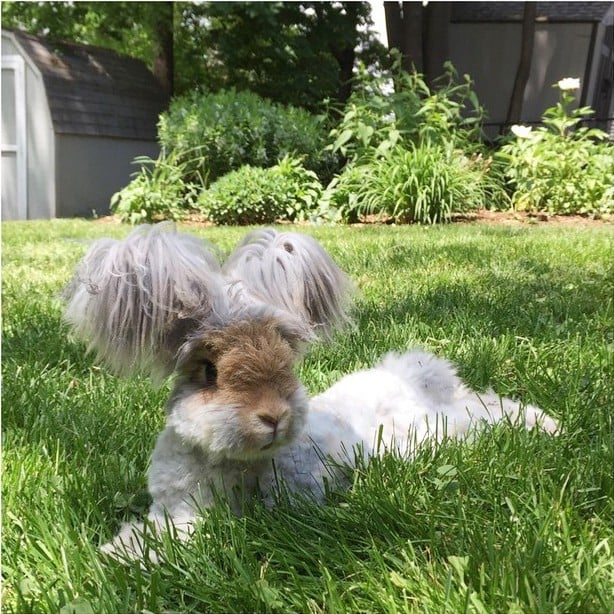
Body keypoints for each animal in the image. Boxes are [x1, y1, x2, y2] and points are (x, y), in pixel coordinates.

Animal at [63, 225, 560, 564]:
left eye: (286, 359)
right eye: (208, 371)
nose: (274, 416)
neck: (233, 461)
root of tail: (404, 378)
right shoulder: (178, 506)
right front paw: (115, 555)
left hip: (433, 429)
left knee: (480, 412)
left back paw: (547, 424)